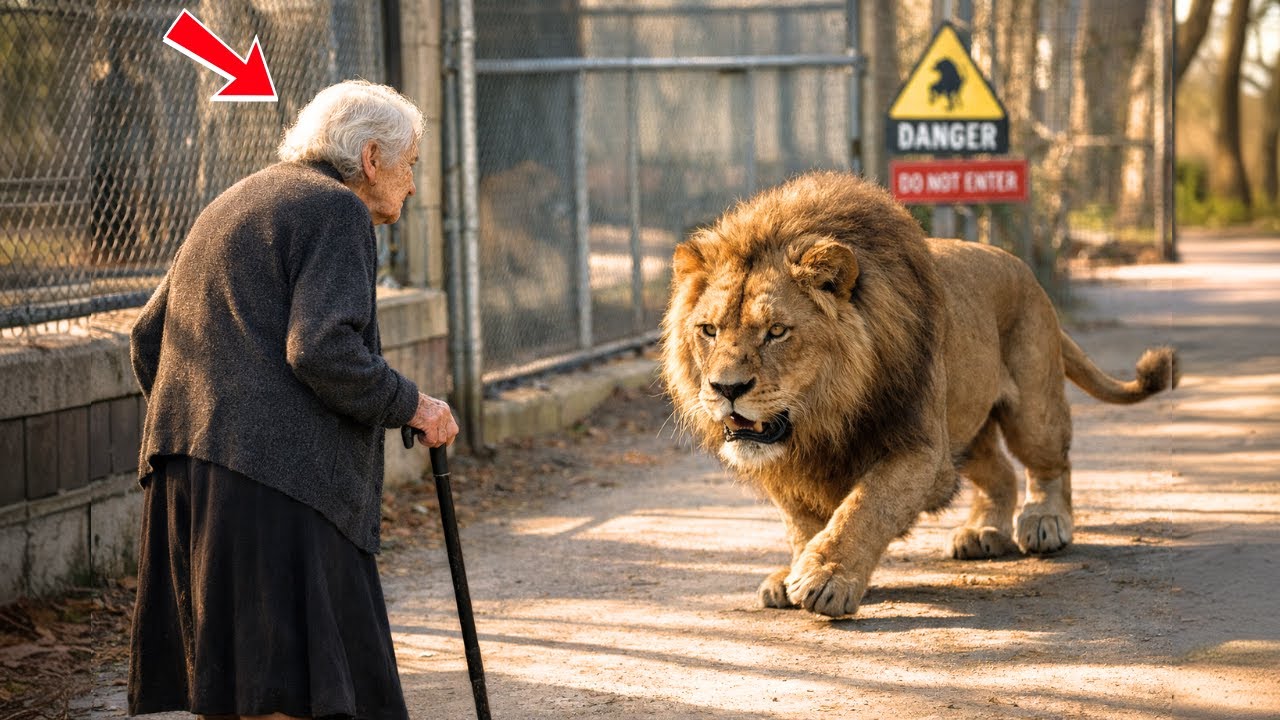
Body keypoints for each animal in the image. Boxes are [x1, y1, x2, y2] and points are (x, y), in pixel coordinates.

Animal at [660, 171, 1178, 618]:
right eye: (708, 330)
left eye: (776, 331)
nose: (726, 389)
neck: (823, 419)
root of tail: (1026, 272)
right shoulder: (792, 470)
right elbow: (802, 523)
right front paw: (794, 571)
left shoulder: (919, 447)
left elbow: (866, 506)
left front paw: (826, 578)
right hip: (965, 433)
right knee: (1001, 474)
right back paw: (982, 532)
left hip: (1031, 410)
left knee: (1050, 465)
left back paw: (1046, 521)